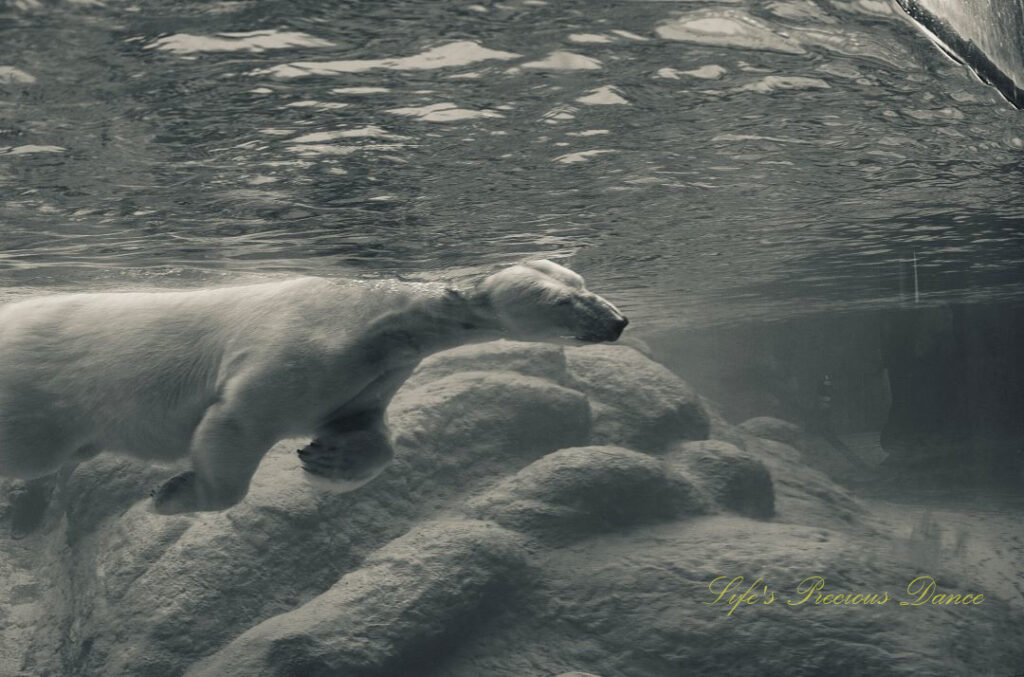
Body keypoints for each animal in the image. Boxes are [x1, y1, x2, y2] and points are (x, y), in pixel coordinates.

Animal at [0, 259, 626, 512]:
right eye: (565, 300)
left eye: (583, 281)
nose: (619, 321)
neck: (379, 315)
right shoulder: (303, 343)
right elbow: (237, 418)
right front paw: (173, 494)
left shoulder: (370, 372)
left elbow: (361, 425)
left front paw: (326, 459)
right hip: (36, 393)